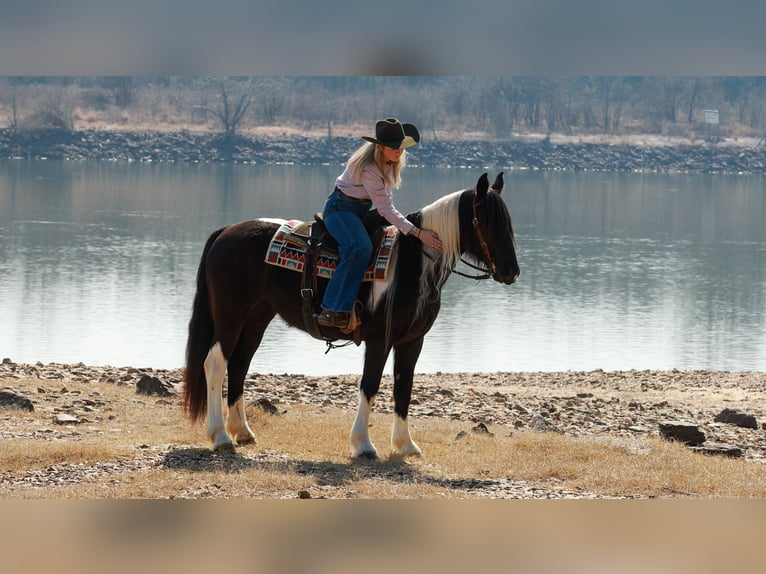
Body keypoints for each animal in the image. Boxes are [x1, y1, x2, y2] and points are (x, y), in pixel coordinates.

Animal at [182, 172, 519, 458]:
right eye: (489, 222)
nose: (512, 272)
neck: (412, 264)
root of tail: (226, 232)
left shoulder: (412, 342)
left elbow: (404, 388)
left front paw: (406, 445)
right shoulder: (379, 340)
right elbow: (370, 386)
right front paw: (364, 445)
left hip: (256, 319)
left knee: (238, 366)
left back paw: (242, 432)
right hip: (230, 317)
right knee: (215, 364)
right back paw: (220, 436)